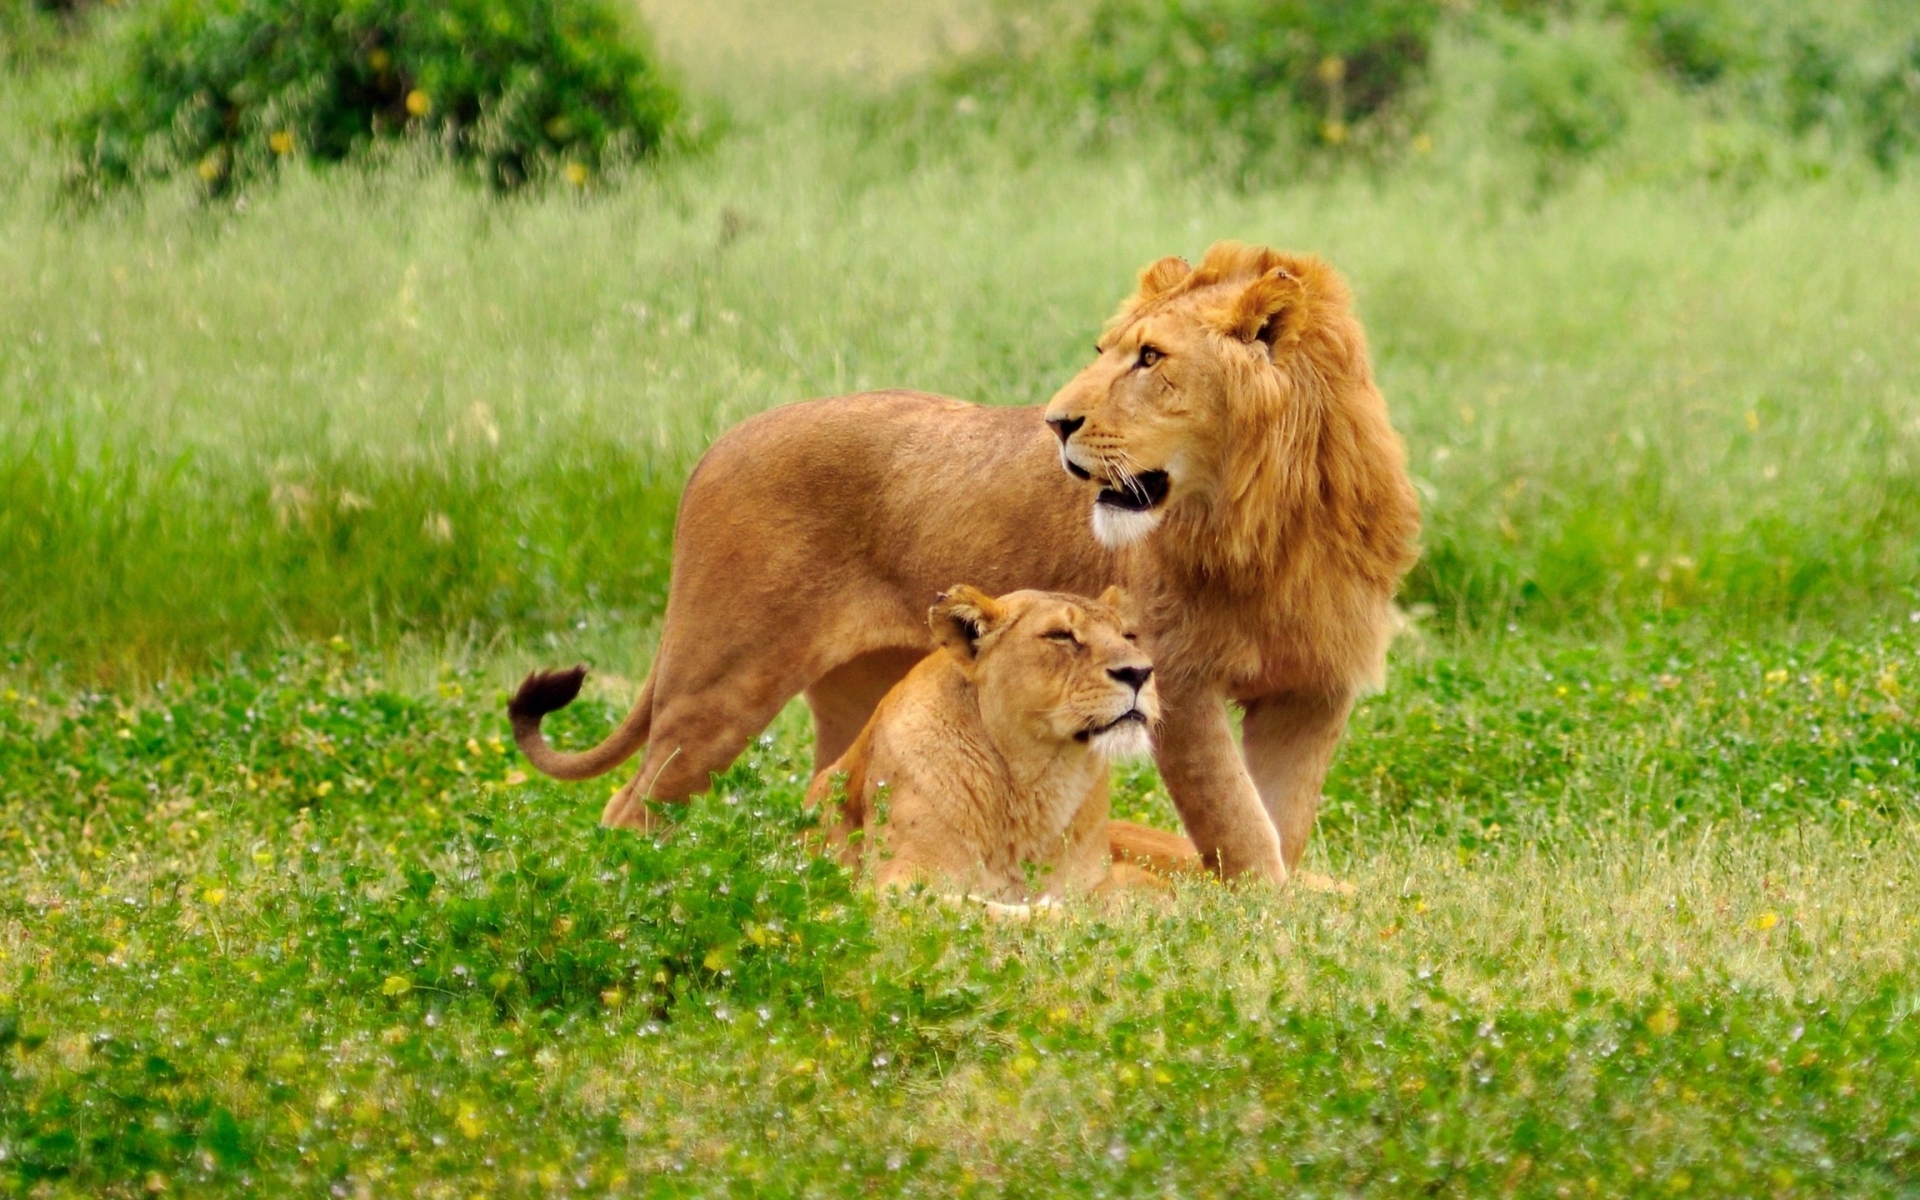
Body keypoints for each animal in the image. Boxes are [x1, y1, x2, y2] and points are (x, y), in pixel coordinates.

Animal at [804, 584, 1201, 907]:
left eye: (1128, 635)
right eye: (1061, 636)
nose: (1139, 673)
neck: (1035, 783)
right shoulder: (897, 886)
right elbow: (974, 907)